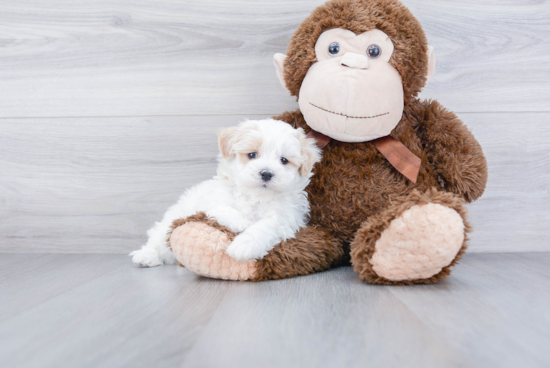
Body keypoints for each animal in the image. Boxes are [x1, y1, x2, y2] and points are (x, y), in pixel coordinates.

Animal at [131, 119, 322, 266]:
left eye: (284, 160)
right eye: (252, 155)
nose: (267, 173)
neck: (256, 197)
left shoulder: (286, 217)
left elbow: (265, 226)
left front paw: (243, 246)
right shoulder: (212, 201)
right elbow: (222, 209)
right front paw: (241, 222)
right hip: (171, 220)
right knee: (158, 238)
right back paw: (146, 256)